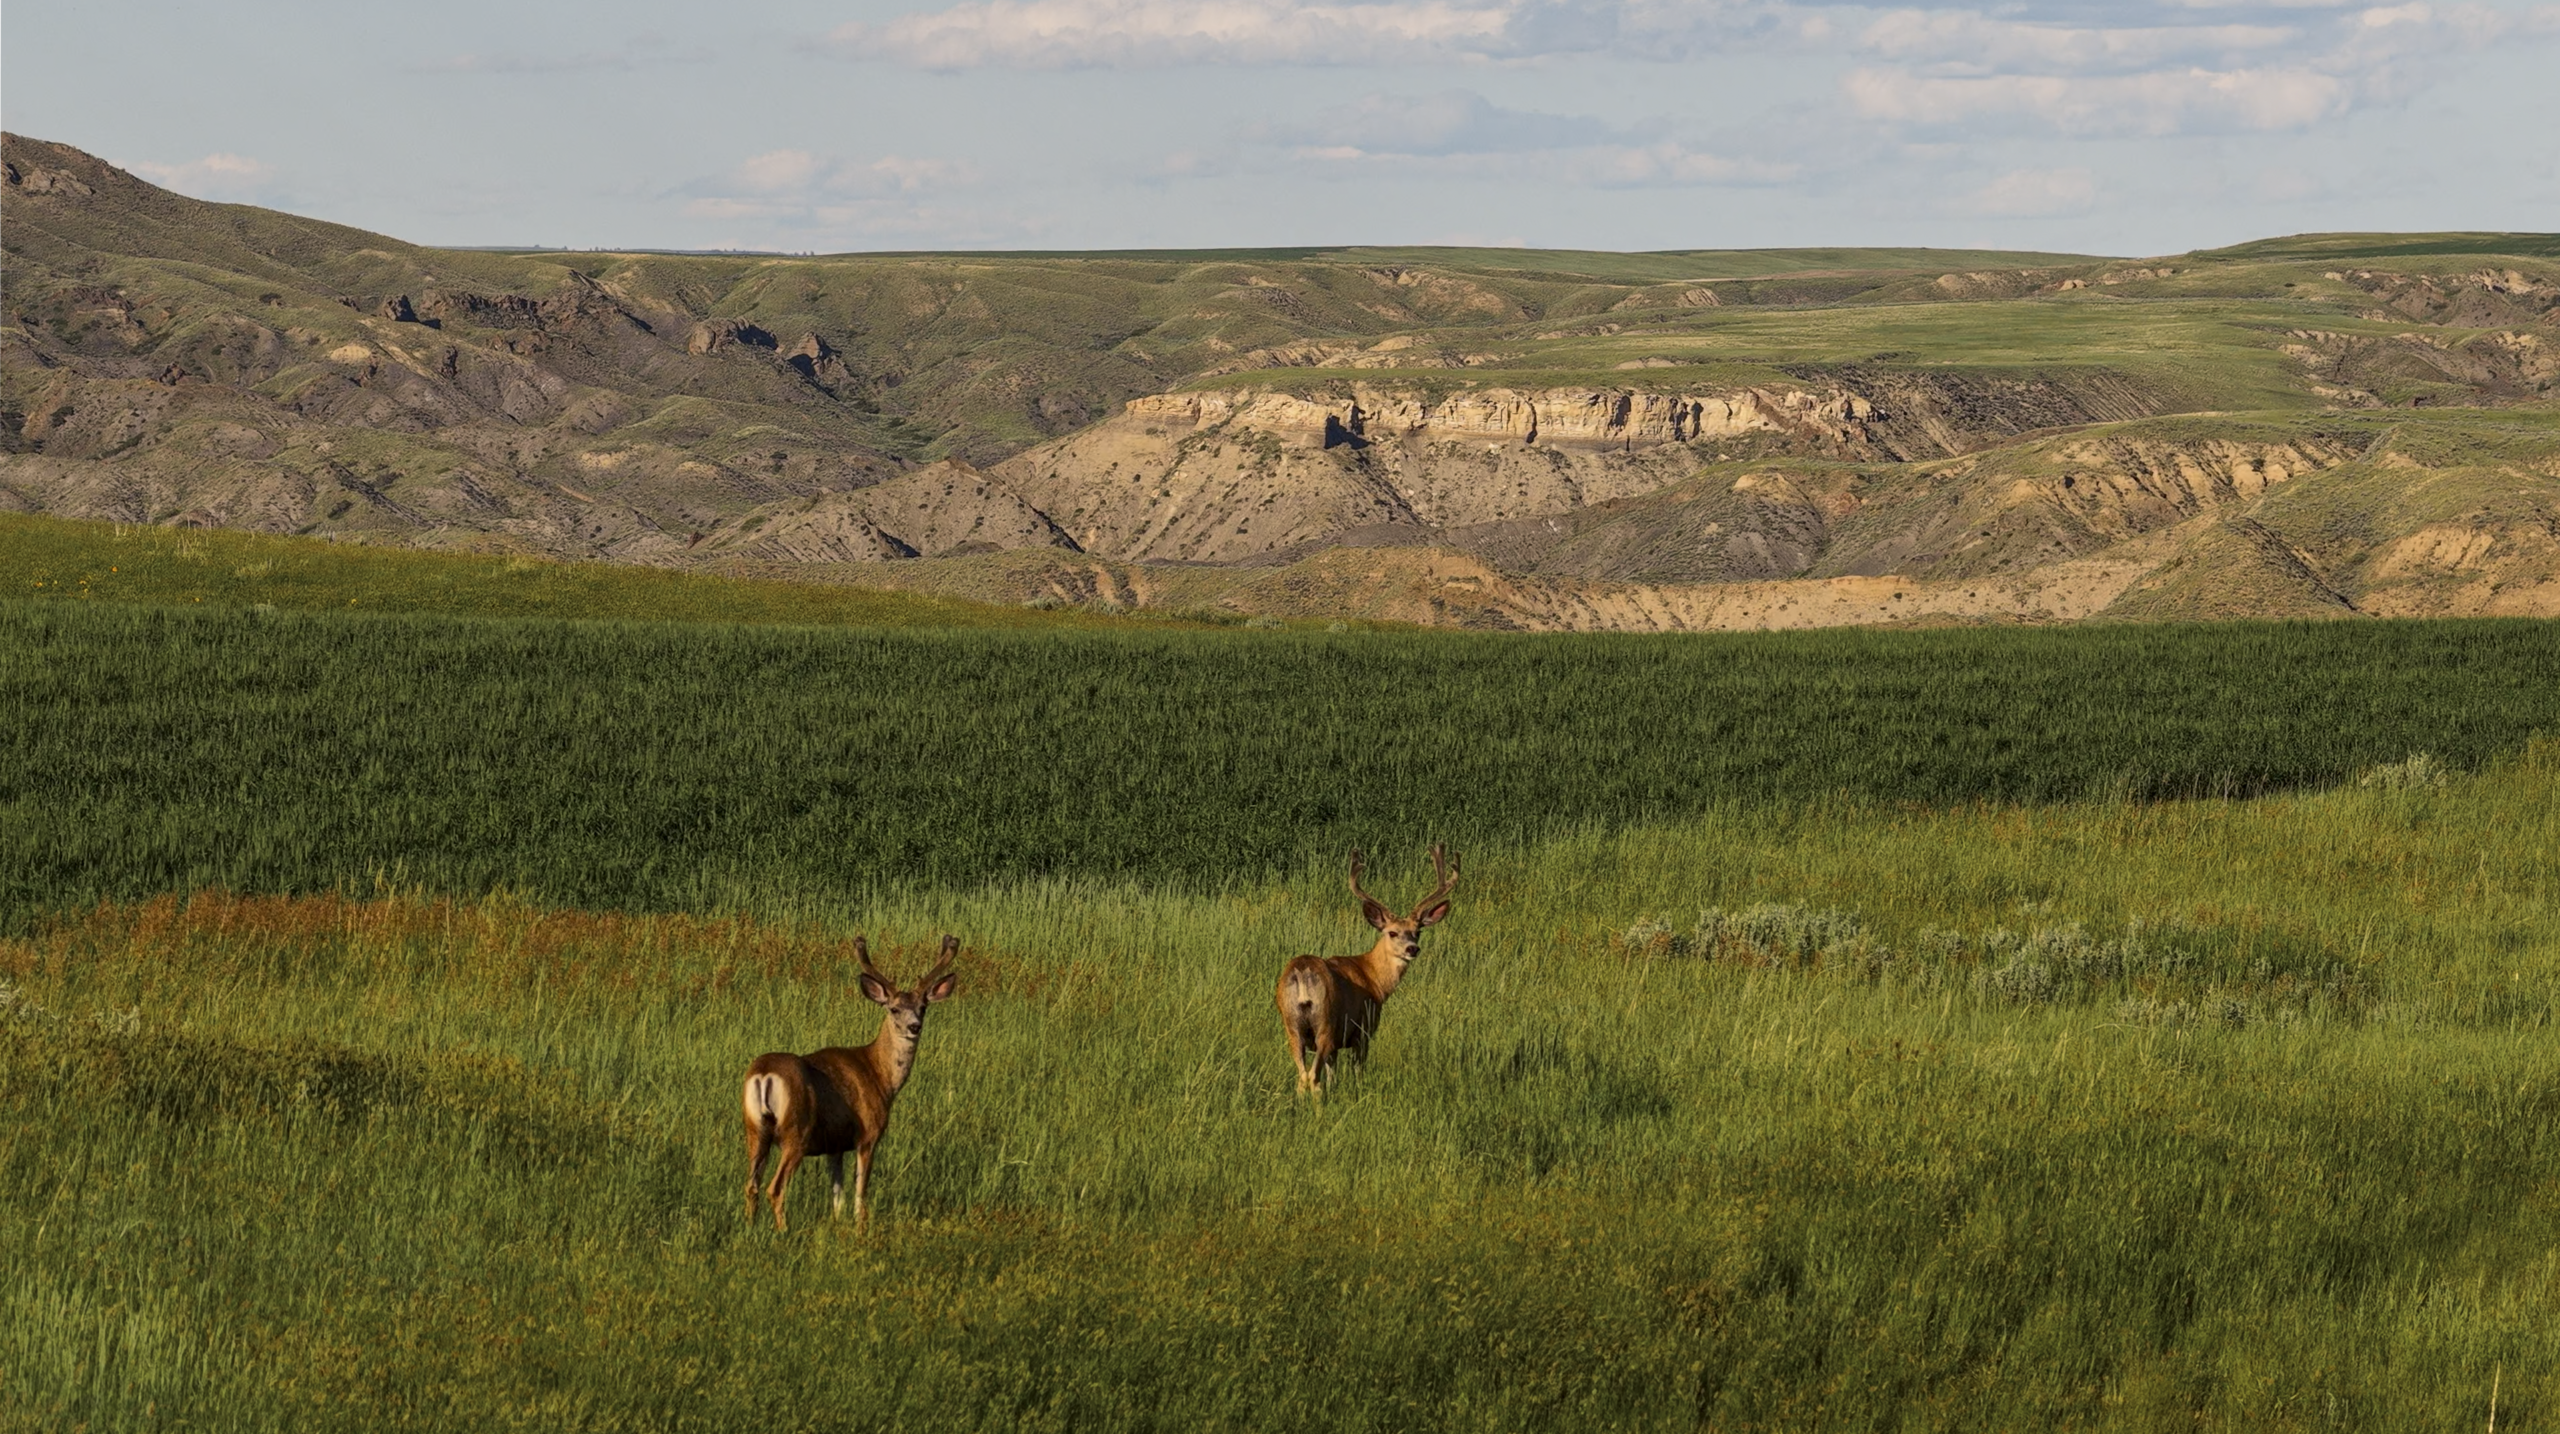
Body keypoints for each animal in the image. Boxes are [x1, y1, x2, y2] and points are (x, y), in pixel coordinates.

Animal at [741, 934, 960, 1231]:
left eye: (922, 1008)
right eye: (894, 1009)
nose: (914, 1026)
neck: (880, 1075)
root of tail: (764, 1074)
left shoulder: (834, 1145)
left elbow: (837, 1195)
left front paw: (838, 1224)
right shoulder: (868, 1134)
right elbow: (860, 1191)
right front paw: (860, 1228)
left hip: (754, 1128)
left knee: (751, 1185)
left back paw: (750, 1229)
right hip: (796, 1131)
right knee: (775, 1188)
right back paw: (783, 1232)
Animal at [1275, 844, 1458, 1097]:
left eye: (1417, 931)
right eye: (1392, 932)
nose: (1412, 948)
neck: (1372, 977)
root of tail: (1302, 971)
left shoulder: (1337, 1044)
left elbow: (1333, 1076)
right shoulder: (1362, 1030)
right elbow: (1357, 1072)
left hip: (1292, 1025)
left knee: (1302, 1077)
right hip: (1326, 1022)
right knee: (1313, 1077)